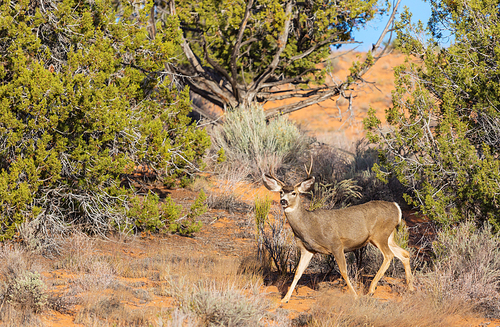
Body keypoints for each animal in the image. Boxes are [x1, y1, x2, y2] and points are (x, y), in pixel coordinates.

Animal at [262, 167, 414, 304]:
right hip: (388, 236)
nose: (283, 201)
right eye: (281, 192)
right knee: (404, 254)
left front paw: (355, 296)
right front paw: (285, 299)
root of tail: (397, 208)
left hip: (380, 235)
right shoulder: (307, 249)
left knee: (389, 255)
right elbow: (297, 272)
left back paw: (371, 290)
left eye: (294, 193)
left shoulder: (336, 244)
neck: (309, 226)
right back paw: (410, 288)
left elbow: (344, 271)